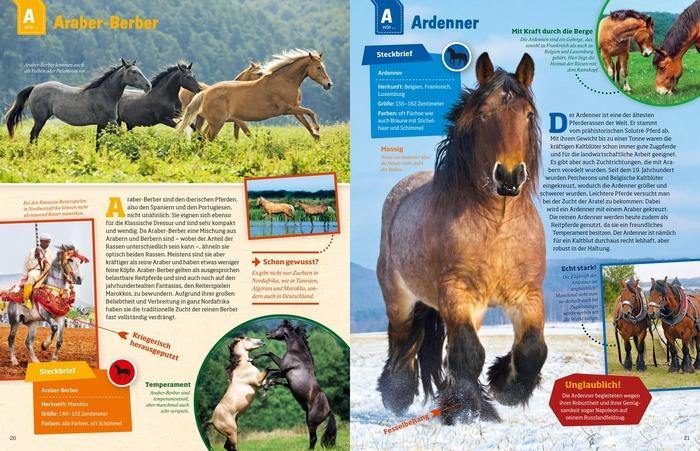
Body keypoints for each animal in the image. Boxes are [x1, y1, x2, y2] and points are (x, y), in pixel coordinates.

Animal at [4, 58, 150, 145]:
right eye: (133, 72)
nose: (148, 85)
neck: (105, 94)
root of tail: (35, 87)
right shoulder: (111, 122)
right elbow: (119, 136)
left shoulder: (102, 123)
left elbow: (98, 141)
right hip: (40, 119)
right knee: (33, 135)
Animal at [177, 49, 332, 141]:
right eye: (318, 67)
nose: (328, 84)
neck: (285, 80)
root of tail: (205, 92)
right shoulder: (288, 109)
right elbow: (311, 112)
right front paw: (318, 130)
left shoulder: (294, 109)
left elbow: (306, 123)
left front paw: (316, 137)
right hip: (217, 122)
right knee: (205, 138)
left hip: (212, 121)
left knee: (202, 137)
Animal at [252, 320, 337, 449]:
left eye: (279, 328)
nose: (267, 334)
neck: (297, 353)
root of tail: (329, 411)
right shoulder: (284, 376)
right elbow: (272, 371)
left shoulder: (283, 369)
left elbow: (271, 369)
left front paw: (265, 391)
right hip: (308, 421)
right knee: (312, 439)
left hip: (312, 423)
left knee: (313, 438)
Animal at [375, 52, 544, 424]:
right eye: (483, 115)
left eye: (527, 115)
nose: (509, 176)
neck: (497, 227)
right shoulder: (458, 294)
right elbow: (468, 353)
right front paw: (470, 410)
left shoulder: (527, 295)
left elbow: (532, 349)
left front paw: (504, 387)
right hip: (401, 300)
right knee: (401, 341)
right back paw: (396, 394)